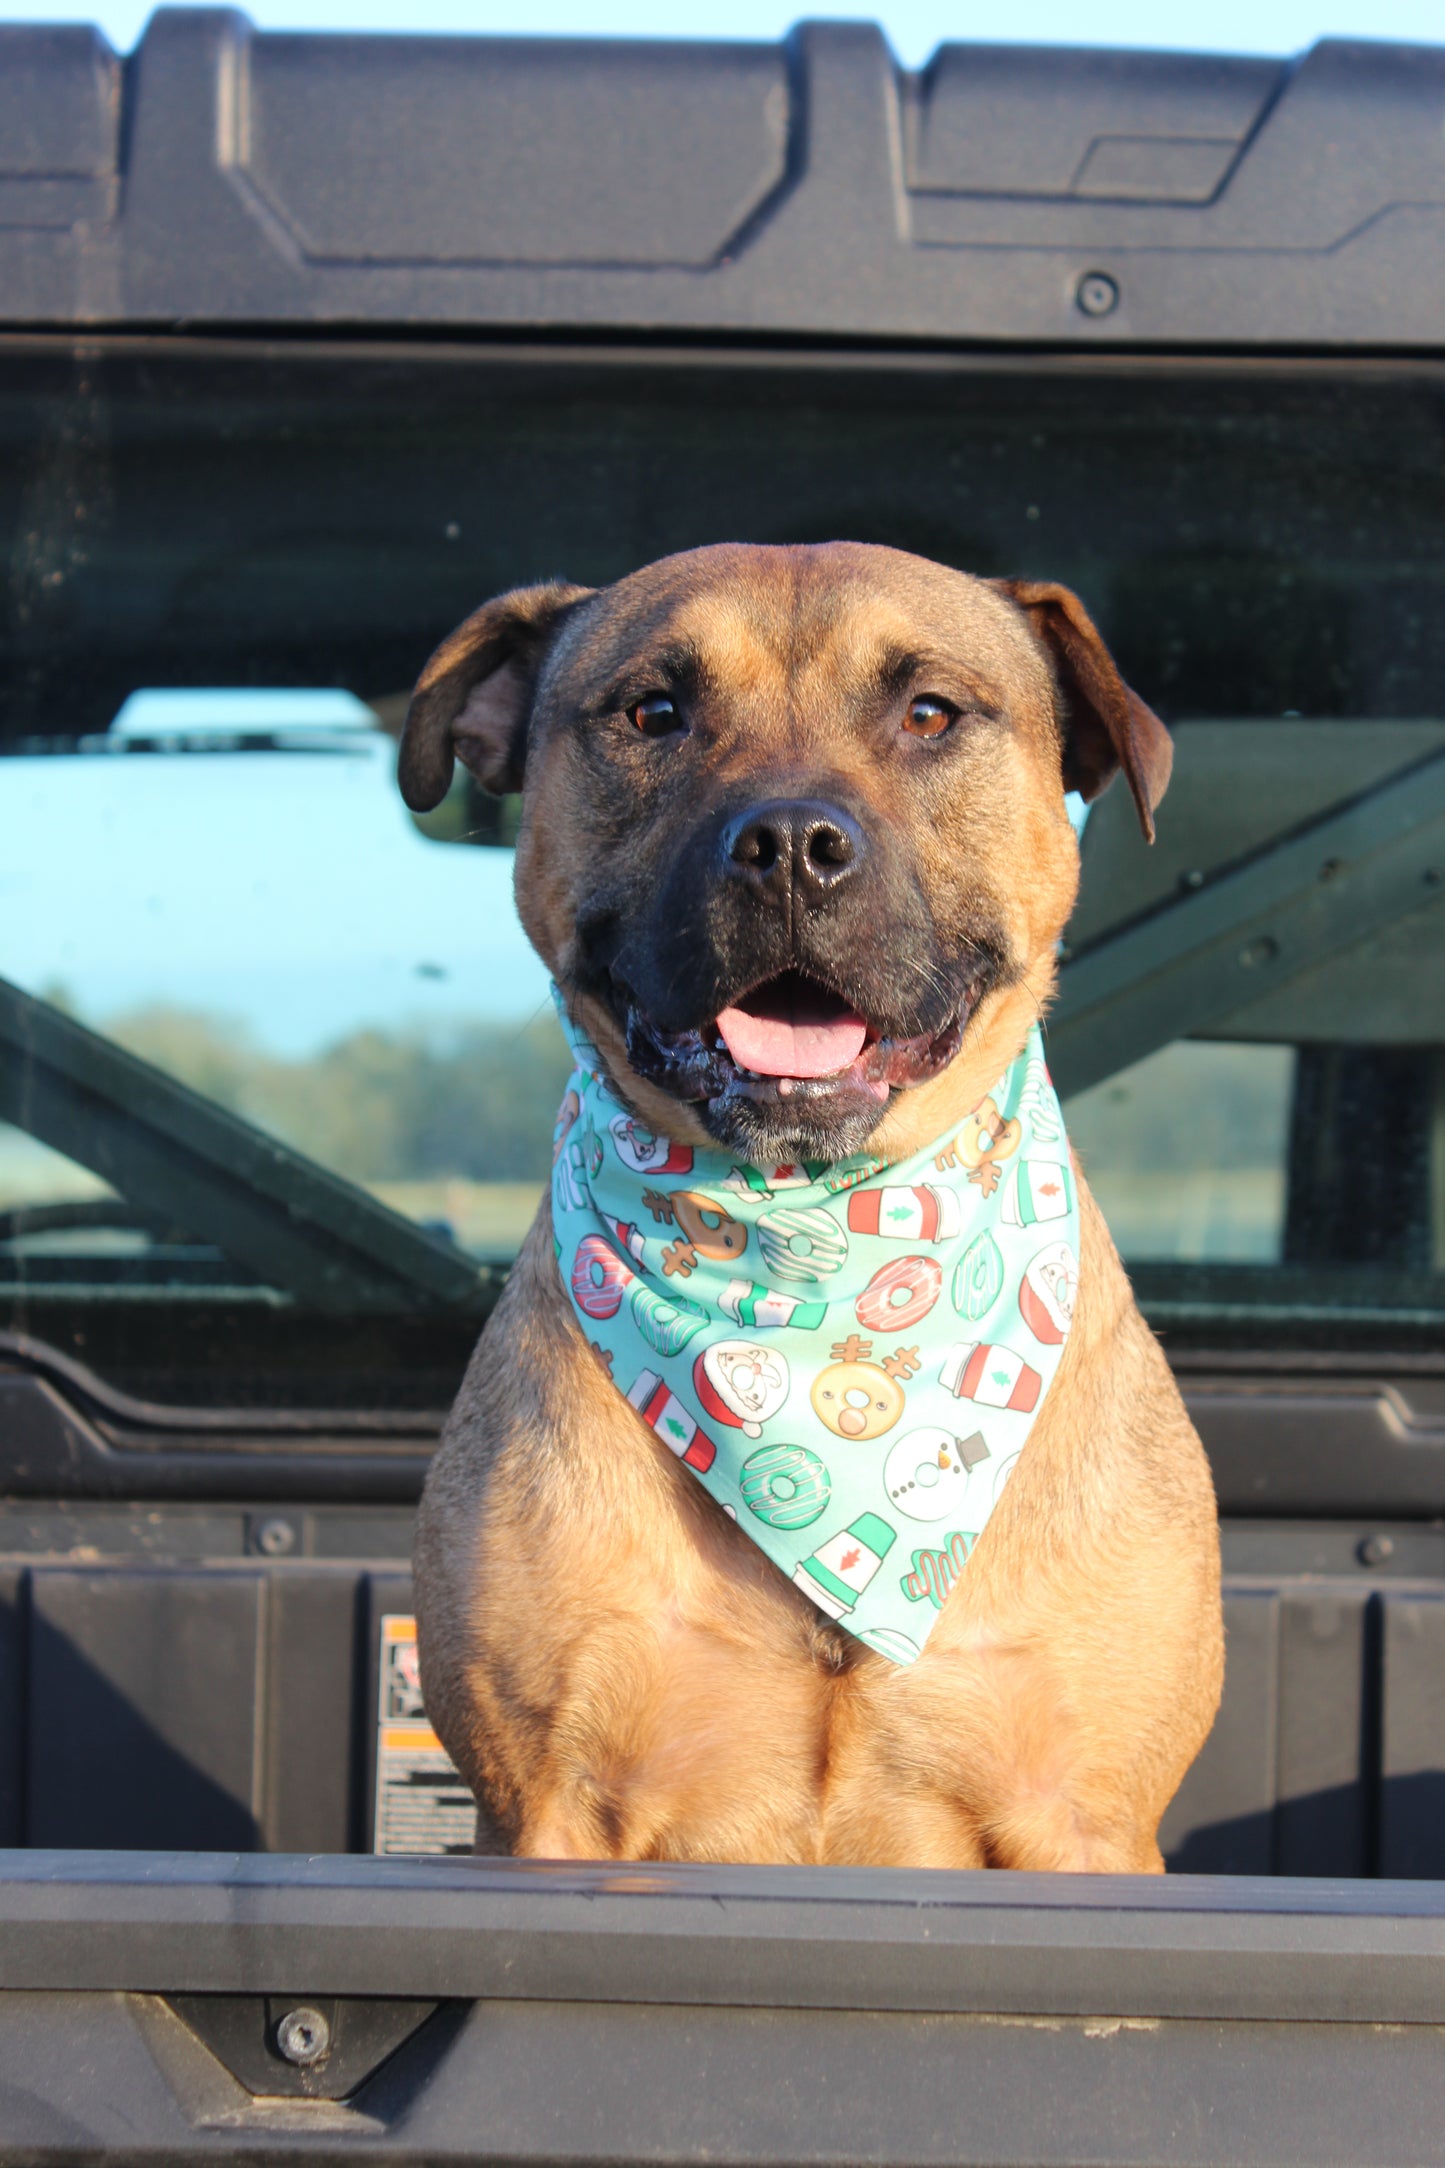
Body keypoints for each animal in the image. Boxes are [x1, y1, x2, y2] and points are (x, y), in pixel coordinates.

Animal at [400, 546, 1230, 1881]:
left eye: (928, 713)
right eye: (654, 711)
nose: (790, 842)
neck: (809, 1246)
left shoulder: (1085, 1821)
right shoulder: (554, 1808)